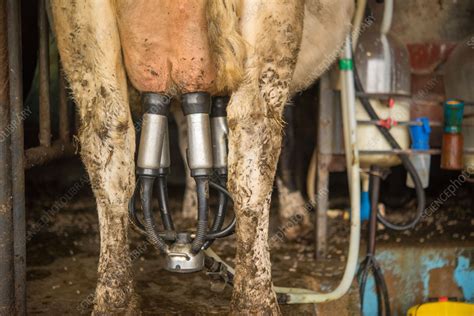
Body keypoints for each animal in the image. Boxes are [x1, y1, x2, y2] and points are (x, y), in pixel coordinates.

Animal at [49, 0, 352, 314]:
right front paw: (295, 212)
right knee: (255, 134)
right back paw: (256, 302)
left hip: (81, 24)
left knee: (108, 140)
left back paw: (115, 301)